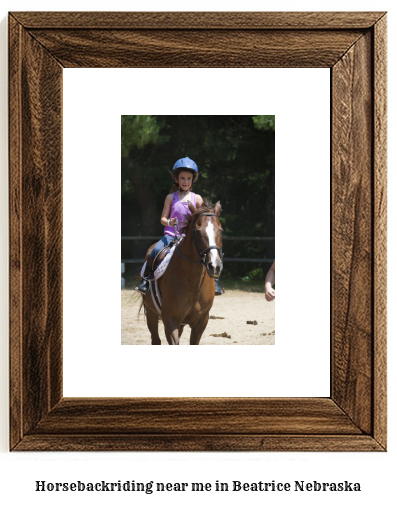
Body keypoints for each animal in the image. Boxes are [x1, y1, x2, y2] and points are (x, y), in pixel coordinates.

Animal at [142, 200, 223, 348]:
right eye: (197, 232)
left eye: (221, 231)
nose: (215, 266)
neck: (193, 286)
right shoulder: (170, 319)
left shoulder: (201, 321)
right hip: (151, 313)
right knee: (155, 340)